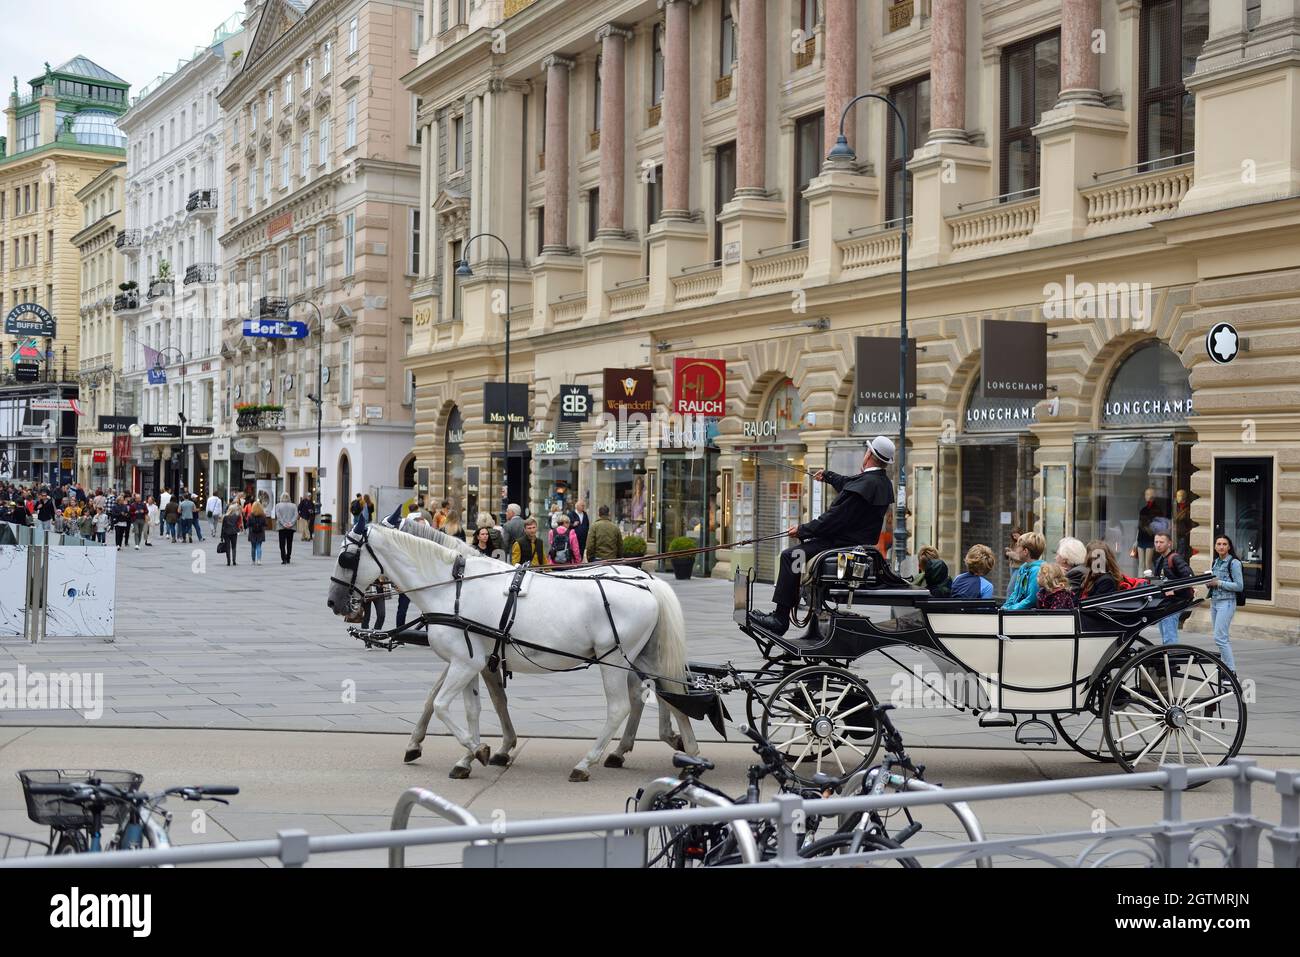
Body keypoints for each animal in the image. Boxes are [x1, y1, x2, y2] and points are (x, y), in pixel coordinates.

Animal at [330, 520, 702, 780]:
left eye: (346, 557)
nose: (334, 602)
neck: (454, 587)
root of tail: (649, 582)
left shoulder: (466, 662)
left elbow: (441, 704)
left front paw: (477, 749)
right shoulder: (473, 661)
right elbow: (470, 707)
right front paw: (465, 754)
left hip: (613, 660)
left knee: (621, 707)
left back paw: (587, 762)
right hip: (644, 655)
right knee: (670, 695)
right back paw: (687, 753)